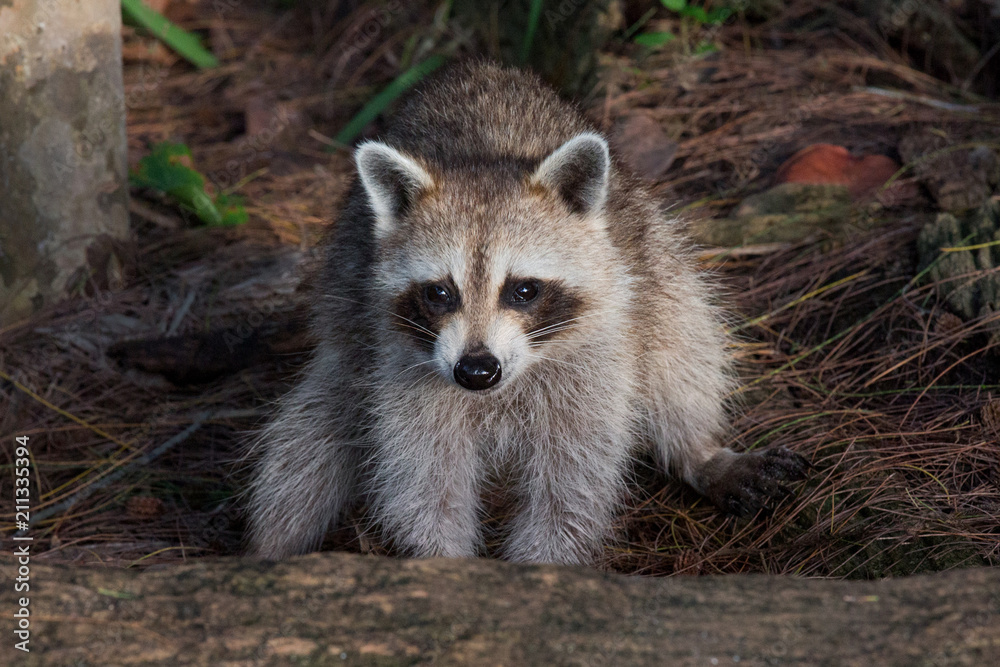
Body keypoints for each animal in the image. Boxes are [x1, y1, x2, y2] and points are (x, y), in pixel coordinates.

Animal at [246, 61, 808, 564]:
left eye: (523, 290)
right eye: (440, 293)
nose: (476, 371)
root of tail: (476, 65)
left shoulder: (594, 361)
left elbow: (572, 487)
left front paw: (542, 567)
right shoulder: (401, 364)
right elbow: (424, 483)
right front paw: (441, 563)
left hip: (652, 250)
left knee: (682, 341)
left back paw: (698, 451)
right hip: (346, 316)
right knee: (314, 429)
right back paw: (273, 546)